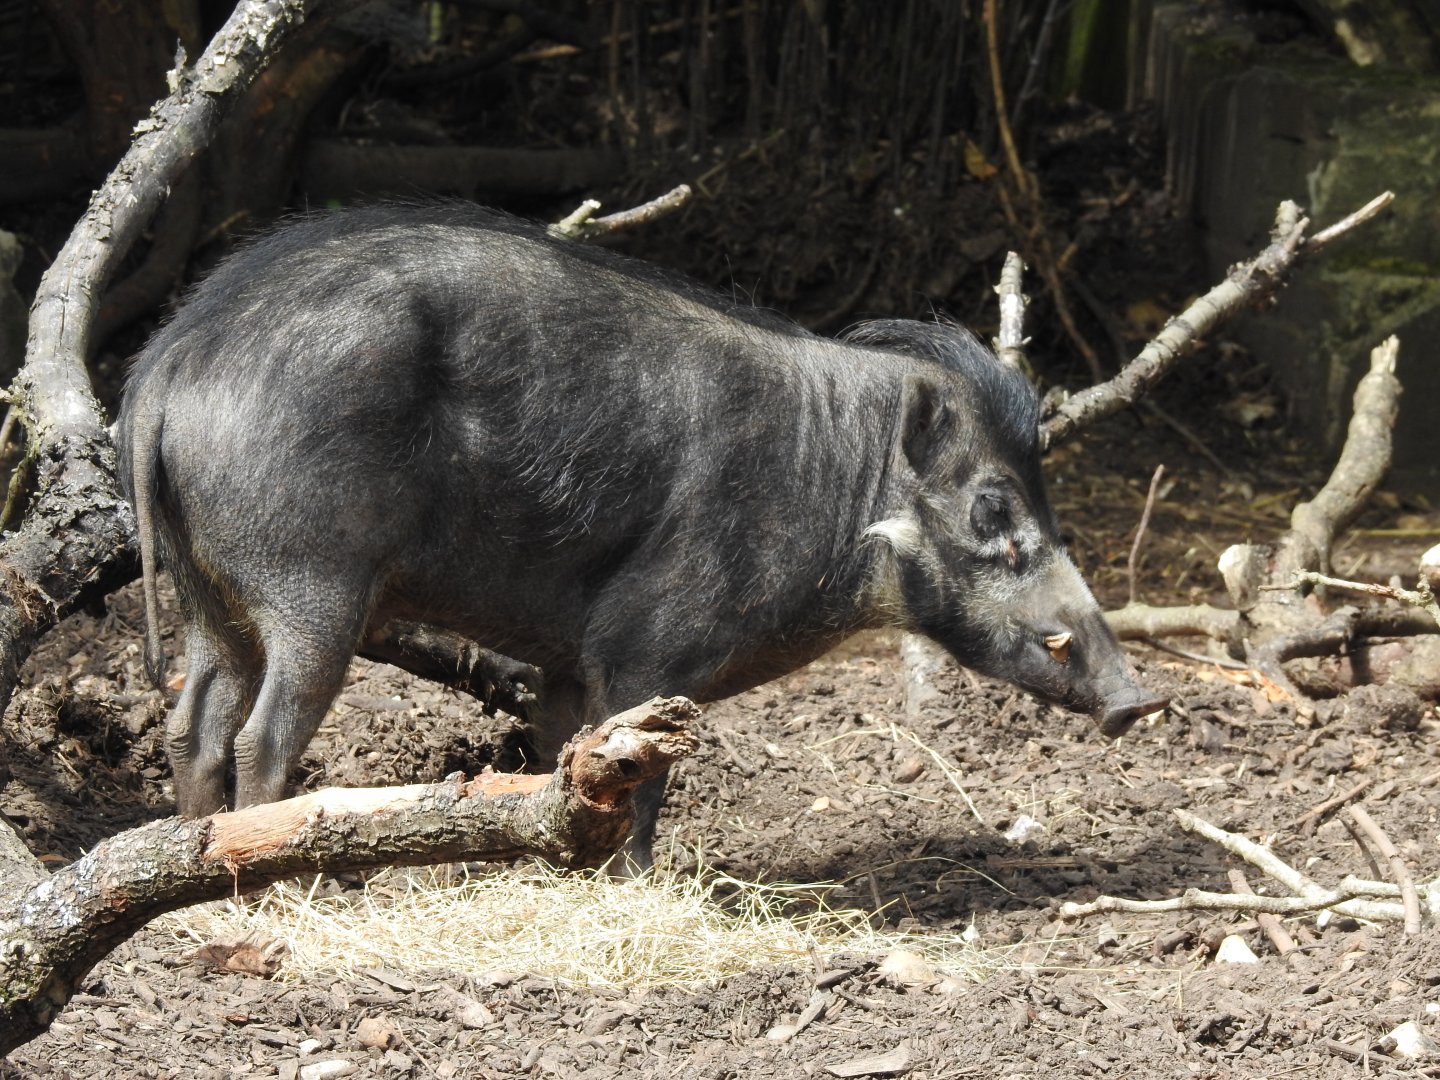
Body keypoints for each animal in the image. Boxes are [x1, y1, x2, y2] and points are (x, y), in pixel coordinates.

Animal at [115, 203, 1166, 866]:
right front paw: (639, 880)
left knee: (193, 722)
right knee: (262, 734)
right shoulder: (646, 652)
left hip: (214, 593)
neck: (841, 485)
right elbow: (642, 782)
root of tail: (169, 367)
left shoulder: (567, 662)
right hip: (311, 582)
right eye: (993, 508)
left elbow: (559, 757)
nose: (1141, 701)